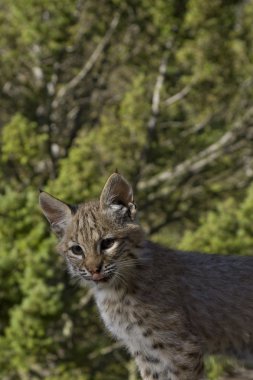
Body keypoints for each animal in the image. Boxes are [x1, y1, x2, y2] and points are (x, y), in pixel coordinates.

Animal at [39, 174, 253, 378]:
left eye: (107, 243)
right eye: (77, 250)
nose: (94, 270)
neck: (114, 289)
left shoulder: (181, 348)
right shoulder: (146, 351)